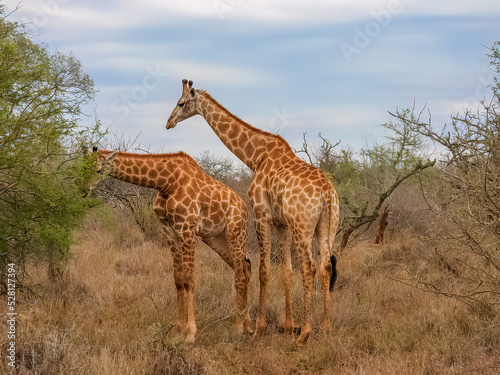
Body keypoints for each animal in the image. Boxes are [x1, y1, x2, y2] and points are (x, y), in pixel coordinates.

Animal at [92, 148, 252, 342]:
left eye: (98, 170)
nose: (84, 190)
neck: (166, 182)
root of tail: (243, 206)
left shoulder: (187, 229)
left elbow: (189, 280)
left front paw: (190, 333)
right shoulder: (169, 231)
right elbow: (178, 280)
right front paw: (179, 328)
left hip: (235, 232)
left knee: (240, 274)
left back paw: (238, 327)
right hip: (215, 238)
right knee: (245, 267)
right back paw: (248, 325)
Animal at [166, 79, 342, 346]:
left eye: (181, 103)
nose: (169, 123)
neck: (255, 156)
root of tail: (326, 192)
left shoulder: (261, 214)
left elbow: (263, 270)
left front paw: (259, 329)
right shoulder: (280, 222)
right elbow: (286, 271)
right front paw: (287, 326)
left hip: (302, 226)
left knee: (309, 268)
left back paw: (305, 333)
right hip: (327, 225)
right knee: (325, 268)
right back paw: (326, 327)